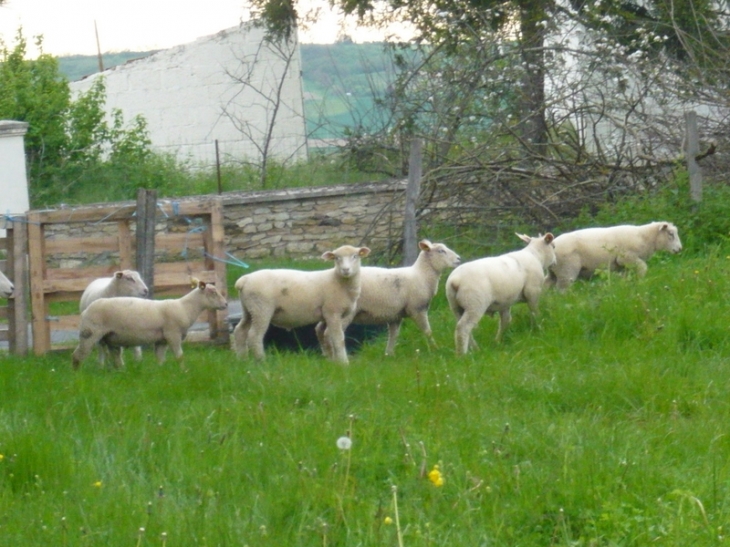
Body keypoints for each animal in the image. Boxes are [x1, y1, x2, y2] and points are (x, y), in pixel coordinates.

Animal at [71, 282, 226, 368]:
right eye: (213, 292)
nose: (225, 304)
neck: (185, 307)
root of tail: (85, 311)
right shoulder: (173, 334)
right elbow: (180, 356)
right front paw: (184, 371)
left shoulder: (162, 340)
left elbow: (160, 359)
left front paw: (160, 373)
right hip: (89, 332)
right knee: (78, 355)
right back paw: (77, 375)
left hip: (110, 338)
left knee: (116, 358)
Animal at [232, 244, 370, 364]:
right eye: (337, 258)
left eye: (355, 256)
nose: (345, 270)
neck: (338, 280)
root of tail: (244, 280)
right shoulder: (333, 311)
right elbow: (338, 338)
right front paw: (343, 363)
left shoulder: (326, 314)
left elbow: (325, 336)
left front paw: (332, 361)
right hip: (261, 309)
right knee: (254, 335)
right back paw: (261, 361)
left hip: (249, 309)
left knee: (240, 331)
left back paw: (242, 359)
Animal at [314, 239, 460, 356]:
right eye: (441, 251)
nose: (458, 259)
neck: (421, 275)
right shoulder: (417, 309)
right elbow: (427, 331)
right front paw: (435, 348)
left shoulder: (395, 314)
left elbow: (393, 335)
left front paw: (389, 354)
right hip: (343, 312)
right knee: (329, 334)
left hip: (329, 311)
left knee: (319, 330)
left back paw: (326, 356)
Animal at [544, 223, 684, 292]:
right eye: (671, 234)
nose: (679, 249)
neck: (644, 237)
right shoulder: (627, 258)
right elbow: (643, 268)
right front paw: (641, 282)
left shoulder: (624, 266)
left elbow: (626, 278)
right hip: (566, 271)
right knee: (561, 291)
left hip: (555, 272)